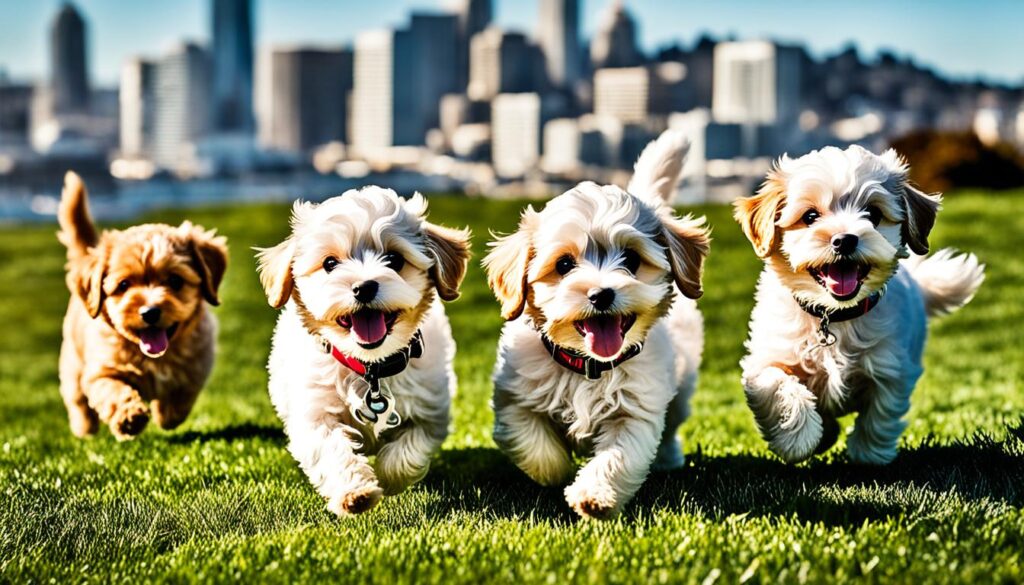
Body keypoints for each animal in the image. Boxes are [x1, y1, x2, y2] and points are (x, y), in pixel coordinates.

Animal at [56, 172, 228, 436]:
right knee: (76, 399)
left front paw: (166, 415)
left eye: (175, 281)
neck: (153, 358)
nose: (150, 312)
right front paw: (130, 416)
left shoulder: (197, 366)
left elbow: (181, 395)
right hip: (72, 362)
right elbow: (113, 391)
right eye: (124, 285)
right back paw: (84, 427)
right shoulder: (100, 371)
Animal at [260, 188, 475, 516]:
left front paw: (389, 478)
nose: (363, 287)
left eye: (394, 259)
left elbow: (411, 448)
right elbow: (331, 449)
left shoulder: (431, 408)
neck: (370, 368)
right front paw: (356, 492)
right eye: (330, 263)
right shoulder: (314, 413)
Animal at [483, 130, 708, 520]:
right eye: (563, 264)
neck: (588, 367)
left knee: (672, 426)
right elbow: (533, 444)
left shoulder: (636, 410)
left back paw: (668, 458)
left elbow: (618, 456)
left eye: (631, 260)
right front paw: (557, 472)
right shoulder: (514, 398)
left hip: (681, 386)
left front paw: (594, 495)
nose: (601, 294)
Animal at [737, 146, 983, 467]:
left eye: (873, 214)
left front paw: (868, 456)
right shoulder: (767, 357)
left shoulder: (892, 369)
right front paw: (798, 439)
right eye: (810, 216)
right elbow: (777, 384)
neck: (834, 316)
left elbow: (880, 415)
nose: (844, 240)